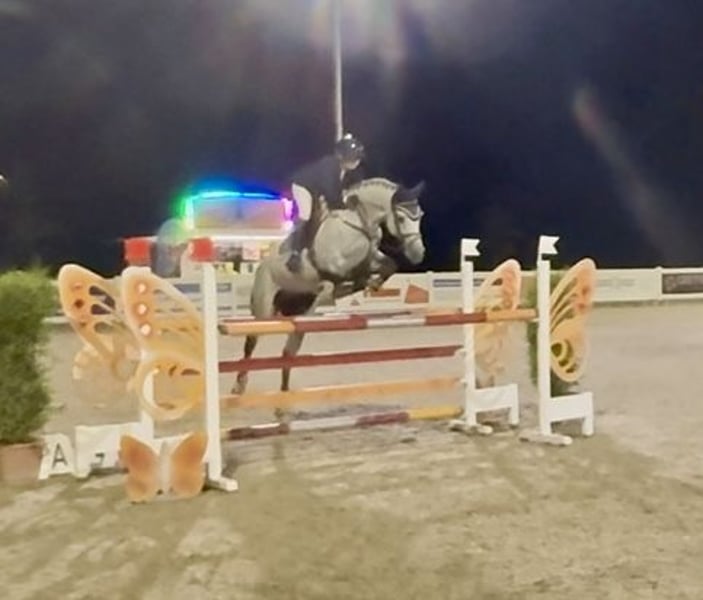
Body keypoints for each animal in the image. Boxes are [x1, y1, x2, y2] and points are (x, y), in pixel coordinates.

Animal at [232, 177, 427, 418]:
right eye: (400, 218)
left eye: (420, 216)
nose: (419, 254)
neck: (360, 223)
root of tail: (261, 266)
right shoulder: (334, 267)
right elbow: (338, 278)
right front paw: (357, 284)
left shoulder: (370, 259)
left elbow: (389, 265)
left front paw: (370, 283)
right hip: (264, 308)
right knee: (251, 342)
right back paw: (239, 386)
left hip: (296, 315)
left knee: (289, 350)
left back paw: (283, 403)